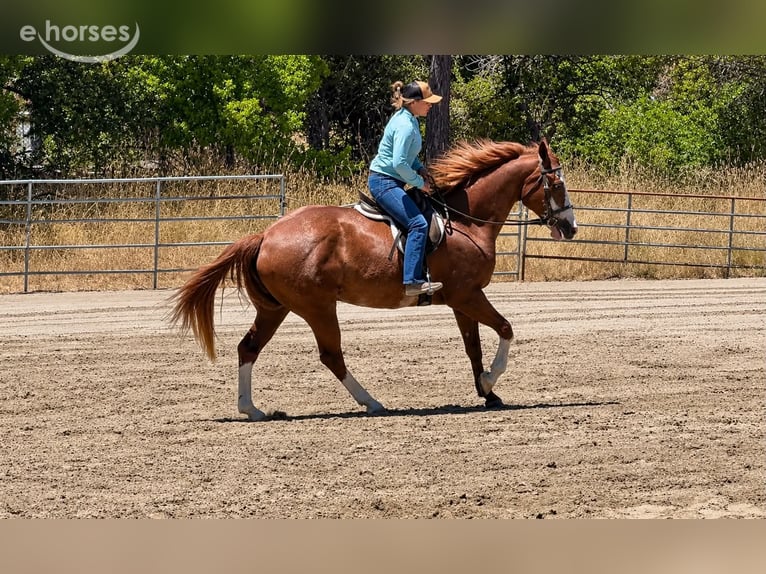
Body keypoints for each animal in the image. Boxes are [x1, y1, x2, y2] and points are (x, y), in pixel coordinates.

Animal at [169, 138, 578, 421]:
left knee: (249, 348)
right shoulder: (468, 295)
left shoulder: (463, 300)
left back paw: (251, 409)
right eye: (557, 184)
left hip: (276, 309)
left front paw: (487, 392)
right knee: (331, 355)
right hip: (318, 308)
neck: (466, 221)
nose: (571, 228)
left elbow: (473, 347)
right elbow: (506, 328)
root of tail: (266, 235)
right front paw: (491, 382)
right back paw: (371, 402)